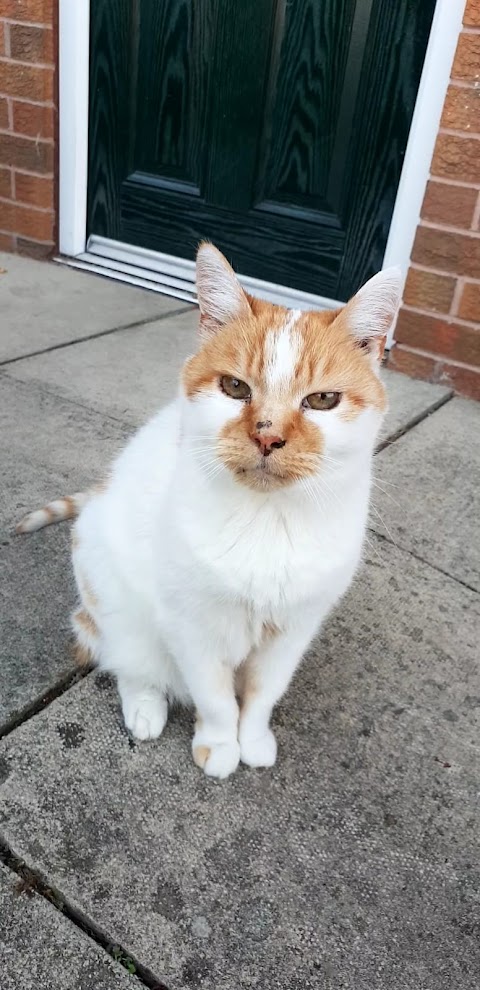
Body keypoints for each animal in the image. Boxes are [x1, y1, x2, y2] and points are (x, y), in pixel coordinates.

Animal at [16, 244, 402, 780]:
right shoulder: (192, 627)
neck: (266, 522)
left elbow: (262, 694)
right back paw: (144, 705)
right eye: (235, 388)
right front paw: (219, 743)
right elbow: (215, 697)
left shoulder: (292, 630)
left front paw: (252, 738)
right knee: (126, 658)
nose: (267, 436)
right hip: (113, 596)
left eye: (323, 399)